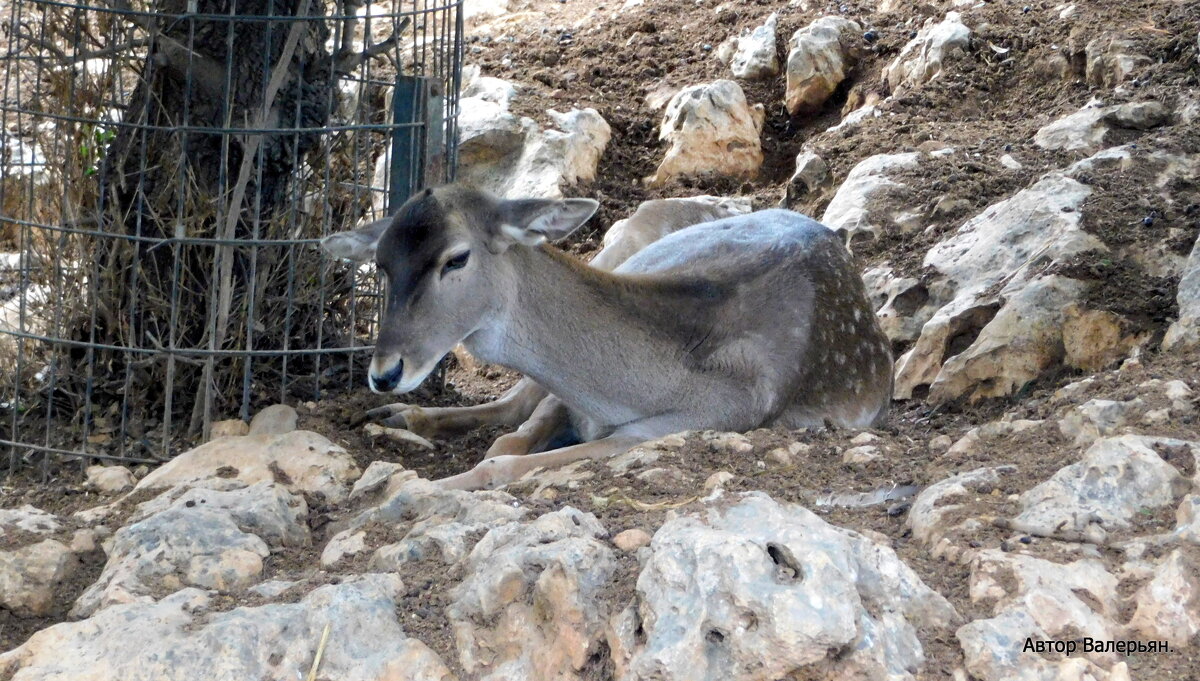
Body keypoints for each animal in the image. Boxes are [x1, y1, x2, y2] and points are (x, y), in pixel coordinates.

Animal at [319, 183, 892, 489]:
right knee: (511, 399)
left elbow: (503, 458)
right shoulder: (566, 397)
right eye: (381, 264)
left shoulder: (705, 418)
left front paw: (419, 491)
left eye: (456, 258)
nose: (385, 372)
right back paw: (392, 416)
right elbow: (511, 432)